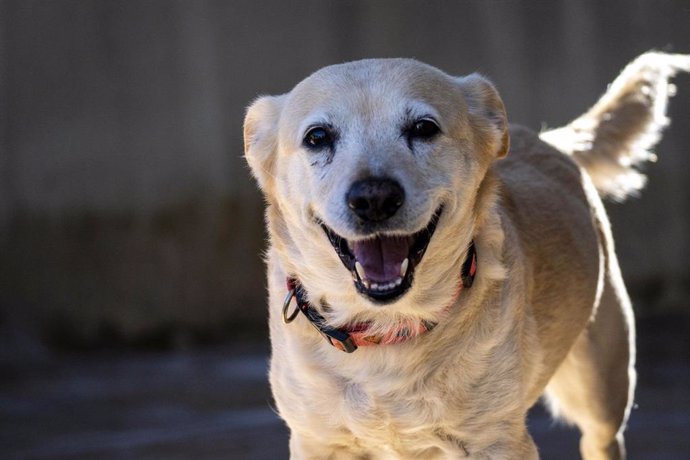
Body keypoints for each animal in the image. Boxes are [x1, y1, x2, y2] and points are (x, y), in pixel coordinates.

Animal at [245, 52, 684, 458]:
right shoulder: (317, 442)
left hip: (600, 393)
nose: (374, 198)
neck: (388, 329)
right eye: (317, 137)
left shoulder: (498, 442)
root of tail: (550, 141)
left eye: (424, 128)